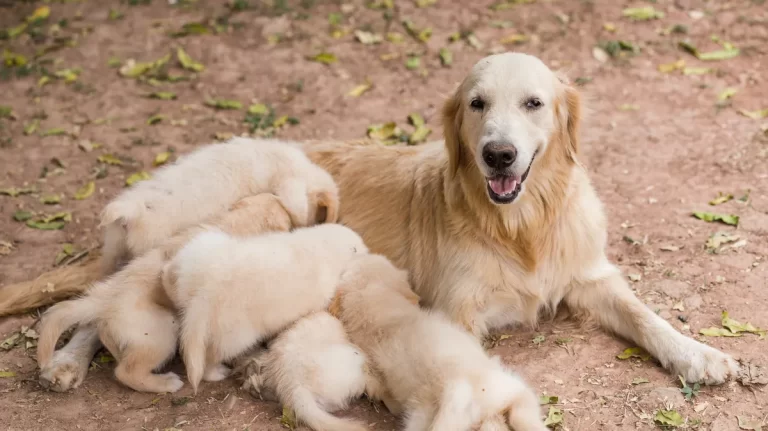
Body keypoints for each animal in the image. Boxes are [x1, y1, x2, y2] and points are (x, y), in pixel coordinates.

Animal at [160, 224, 368, 394]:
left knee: (171, 275)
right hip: (236, 338)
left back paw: (166, 273)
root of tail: (206, 291)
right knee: (211, 358)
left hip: (199, 253)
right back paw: (217, 373)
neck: (320, 247)